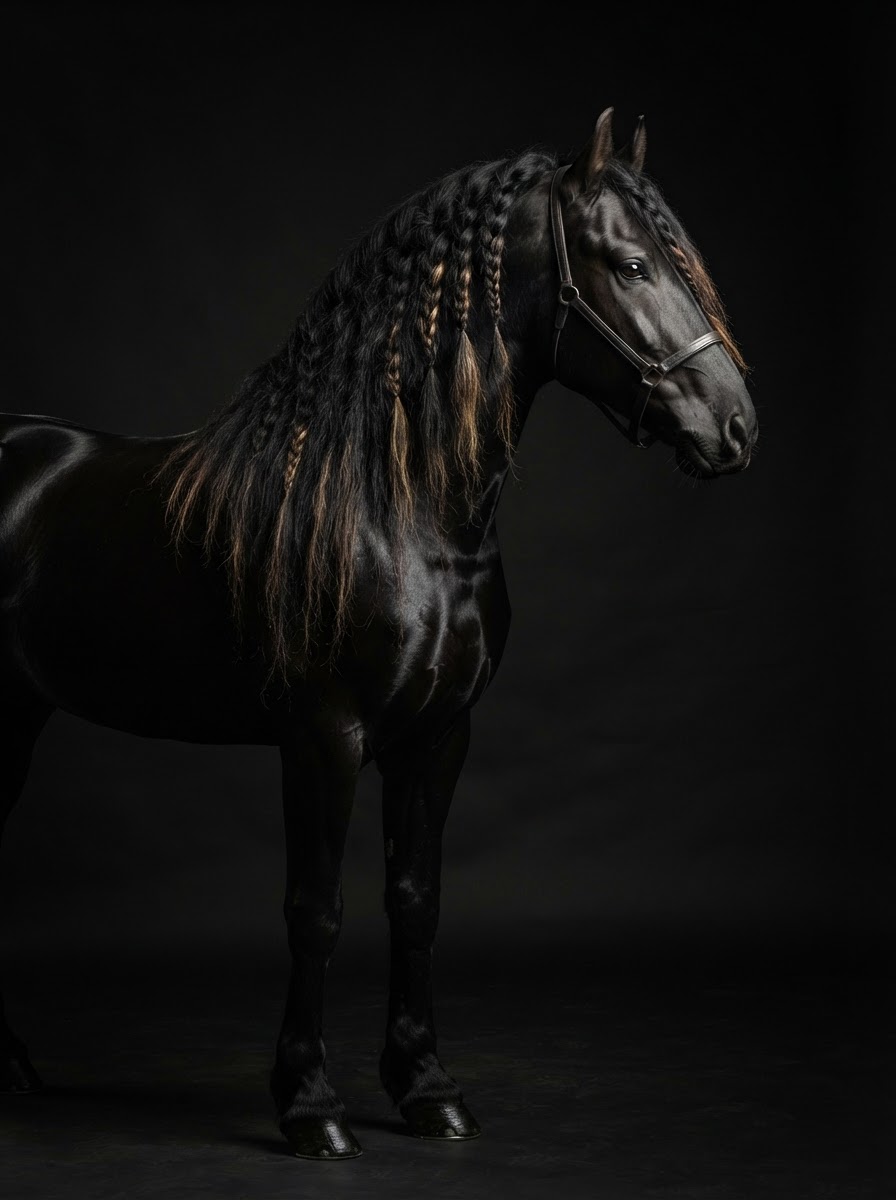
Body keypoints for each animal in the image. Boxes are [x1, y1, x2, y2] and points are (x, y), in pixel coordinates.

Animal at [0, 108, 757, 1160]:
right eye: (633, 264)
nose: (737, 426)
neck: (399, 512)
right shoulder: (324, 738)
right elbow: (316, 913)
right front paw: (309, 1104)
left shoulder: (437, 737)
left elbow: (415, 902)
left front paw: (426, 1089)